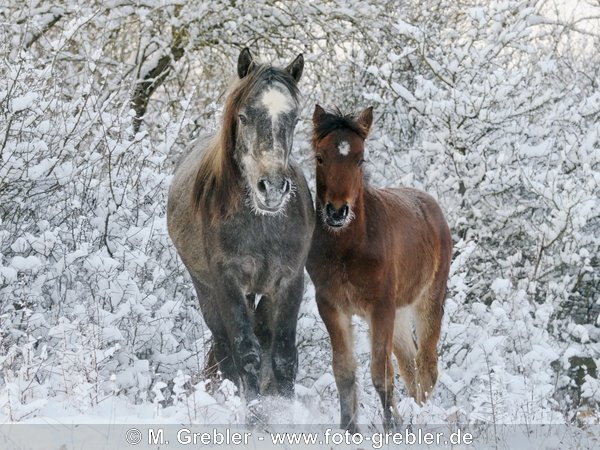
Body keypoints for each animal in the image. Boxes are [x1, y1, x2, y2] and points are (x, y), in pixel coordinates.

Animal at [165, 48, 314, 404]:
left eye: (294, 118)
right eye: (244, 116)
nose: (272, 189)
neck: (262, 225)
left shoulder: (289, 280)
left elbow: (283, 356)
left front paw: (282, 408)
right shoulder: (227, 281)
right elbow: (246, 353)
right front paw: (252, 409)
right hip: (207, 288)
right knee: (224, 348)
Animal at [308, 105, 452, 432]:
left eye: (360, 159)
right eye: (320, 157)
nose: (337, 212)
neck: (348, 248)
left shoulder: (380, 308)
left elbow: (380, 372)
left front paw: (392, 428)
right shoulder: (331, 306)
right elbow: (344, 372)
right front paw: (348, 429)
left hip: (427, 301)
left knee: (426, 365)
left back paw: (425, 418)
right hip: (399, 313)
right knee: (410, 366)